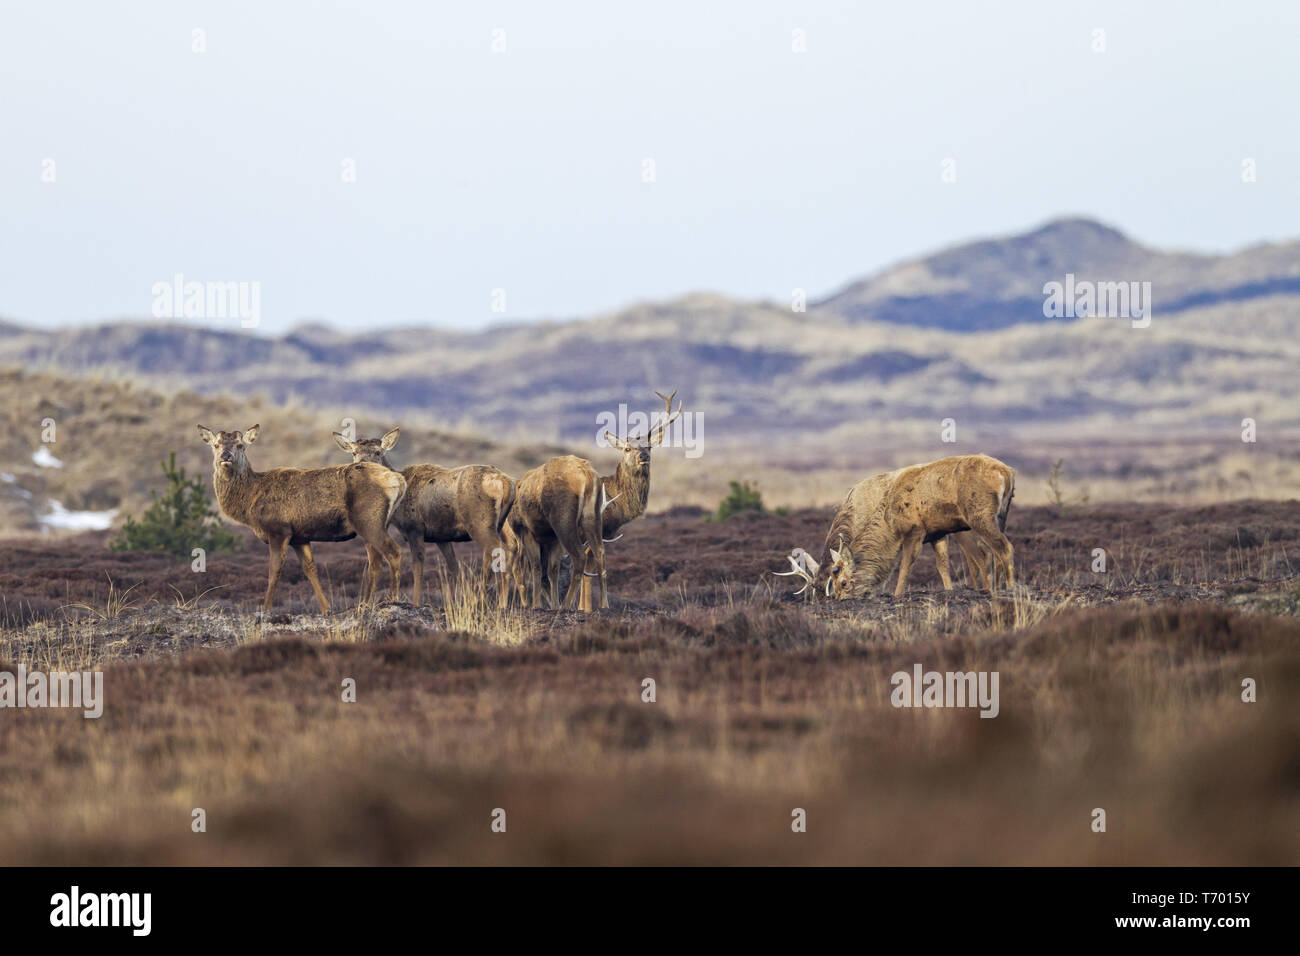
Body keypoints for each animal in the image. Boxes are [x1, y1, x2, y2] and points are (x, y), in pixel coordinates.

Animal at [195, 424, 400, 613]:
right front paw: (326, 609)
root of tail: (398, 480)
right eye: (216, 445)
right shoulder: (299, 537)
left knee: (393, 552)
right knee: (376, 560)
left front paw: (265, 609)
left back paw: (391, 600)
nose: (225, 456)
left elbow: (274, 570)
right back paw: (367, 603)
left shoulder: (278, 529)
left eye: (240, 445)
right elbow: (310, 569)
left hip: (369, 520)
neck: (250, 503)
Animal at [332, 429, 514, 606]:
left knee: (501, 551)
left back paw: (500, 603)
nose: (361, 465)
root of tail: (506, 481)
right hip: (499, 524)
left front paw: (416, 602)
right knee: (504, 550)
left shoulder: (414, 528)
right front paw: (463, 599)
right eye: (354, 452)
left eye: (378, 452)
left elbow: (417, 568)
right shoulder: (441, 536)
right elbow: (454, 567)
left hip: (479, 523)